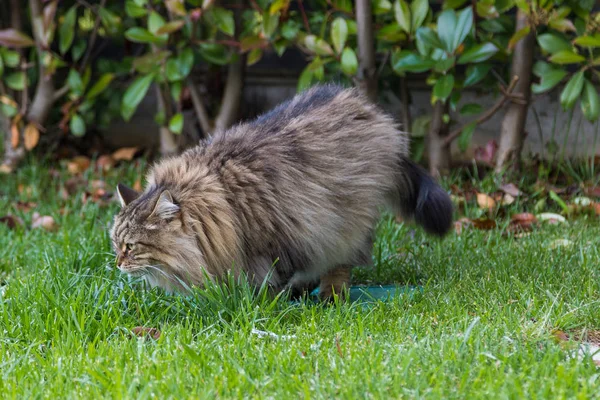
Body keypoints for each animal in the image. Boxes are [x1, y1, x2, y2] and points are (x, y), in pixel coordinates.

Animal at [110, 84, 452, 300]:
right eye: (115, 245)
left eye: (130, 247)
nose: (116, 265)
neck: (220, 201)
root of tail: (367, 107)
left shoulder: (284, 238)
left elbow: (273, 281)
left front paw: (263, 303)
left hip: (347, 220)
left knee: (344, 258)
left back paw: (329, 292)